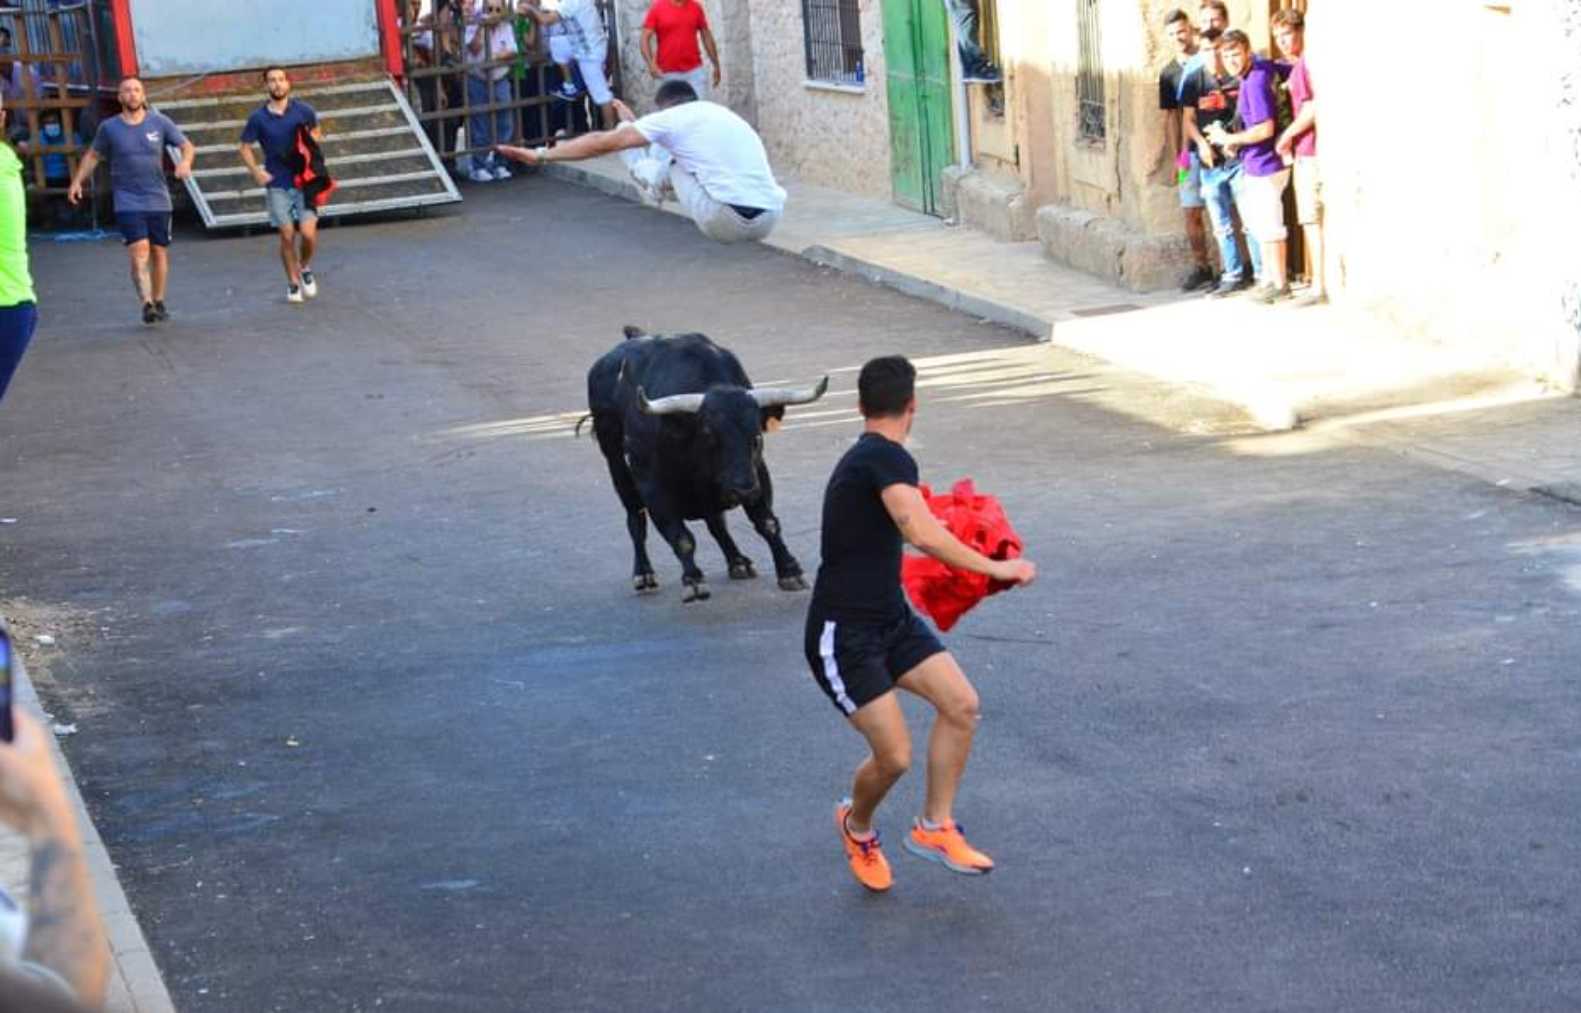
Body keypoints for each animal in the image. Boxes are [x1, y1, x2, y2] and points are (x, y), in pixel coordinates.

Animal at [581, 325, 828, 600]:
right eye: (710, 435)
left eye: (756, 436)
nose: (743, 489)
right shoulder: (653, 487)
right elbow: (681, 537)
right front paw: (693, 580)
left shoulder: (758, 474)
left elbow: (767, 523)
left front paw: (789, 571)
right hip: (616, 465)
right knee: (636, 520)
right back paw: (644, 574)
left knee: (716, 523)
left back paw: (737, 561)